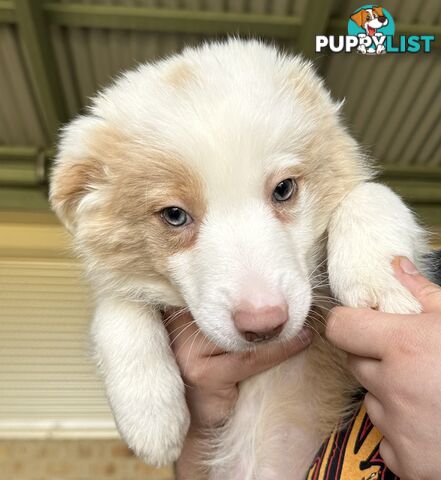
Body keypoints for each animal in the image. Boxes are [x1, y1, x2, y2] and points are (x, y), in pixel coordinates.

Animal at [49, 39, 426, 478]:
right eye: (174, 215)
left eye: (284, 189)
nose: (263, 325)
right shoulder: (118, 284)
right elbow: (116, 306)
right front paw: (151, 418)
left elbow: (372, 193)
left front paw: (380, 283)